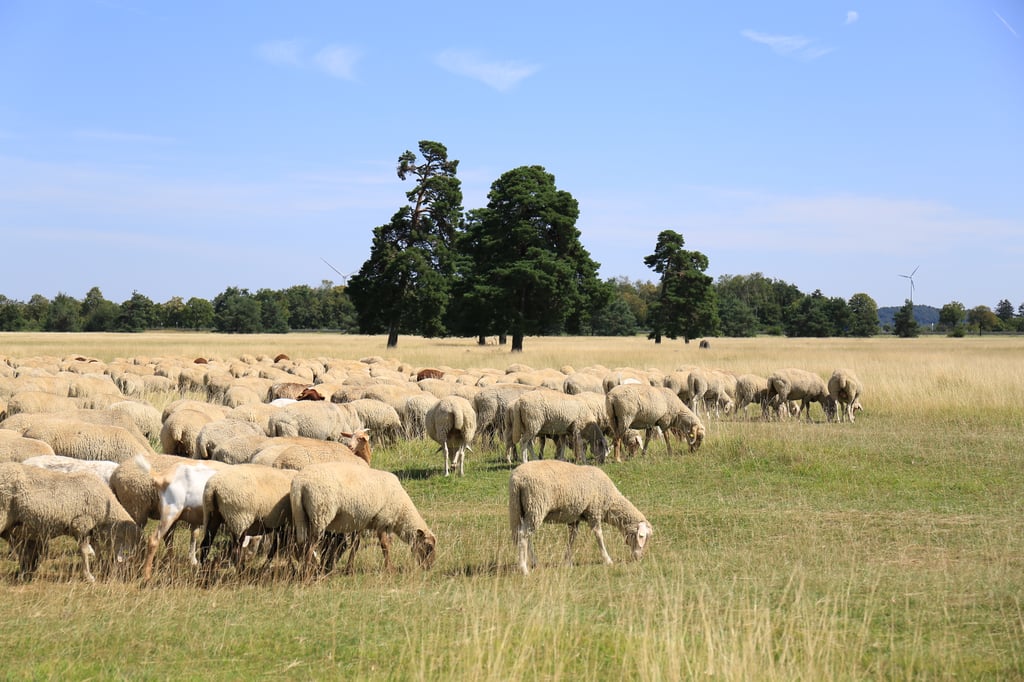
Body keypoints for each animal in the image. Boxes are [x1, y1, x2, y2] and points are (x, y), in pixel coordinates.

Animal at [0, 462, 140, 582]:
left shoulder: (91, 529)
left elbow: (97, 550)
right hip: (3, 514)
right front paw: (89, 576)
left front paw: (102, 567)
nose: (132, 573)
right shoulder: (81, 524)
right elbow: (84, 551)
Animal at [290, 461, 436, 574]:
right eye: (428, 547)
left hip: (302, 516)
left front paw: (349, 570)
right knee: (310, 546)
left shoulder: (362, 521)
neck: (402, 512)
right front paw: (390, 569)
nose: (429, 567)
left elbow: (355, 545)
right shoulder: (382, 520)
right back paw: (308, 575)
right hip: (320, 514)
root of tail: (299, 483)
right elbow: (385, 546)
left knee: (303, 544)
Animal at [508, 459, 653, 575]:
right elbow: (599, 536)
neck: (610, 500)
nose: (639, 558)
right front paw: (607, 560)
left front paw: (567, 560)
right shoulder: (594, 511)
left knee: (523, 536)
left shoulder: (575, 517)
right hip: (536, 506)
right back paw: (524, 569)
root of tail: (517, 479)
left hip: (519, 510)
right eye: (642, 537)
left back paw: (534, 563)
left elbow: (572, 538)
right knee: (523, 535)